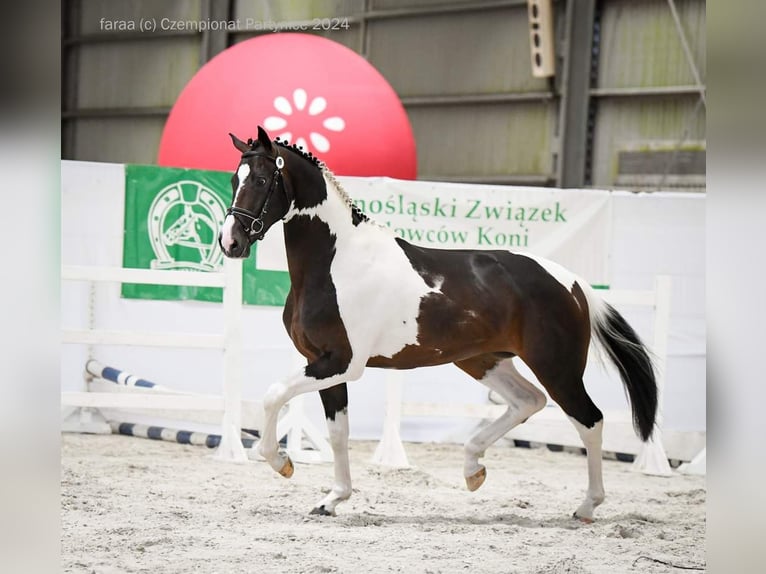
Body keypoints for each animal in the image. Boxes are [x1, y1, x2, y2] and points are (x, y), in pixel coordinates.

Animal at [219, 128, 656, 524]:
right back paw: (473, 469)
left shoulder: (341, 363)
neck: (335, 263)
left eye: (261, 180)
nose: (231, 242)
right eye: (233, 180)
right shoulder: (324, 364)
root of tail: (575, 284)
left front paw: (281, 462)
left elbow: (273, 395)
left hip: (557, 367)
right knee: (528, 401)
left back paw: (587, 506)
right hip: (484, 360)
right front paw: (332, 499)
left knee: (589, 420)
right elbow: (338, 432)